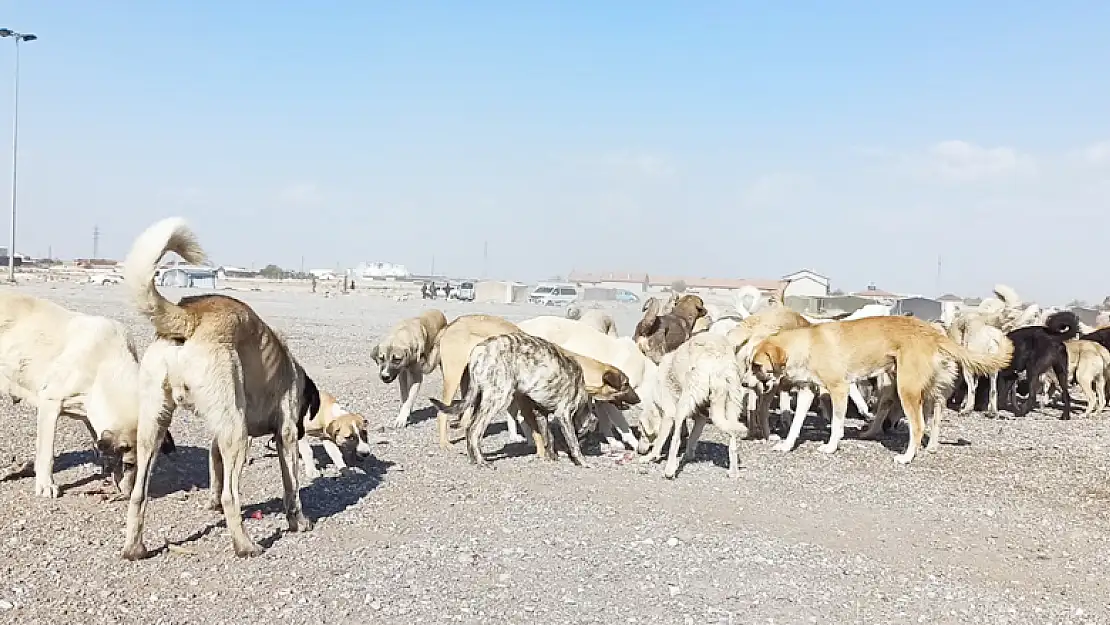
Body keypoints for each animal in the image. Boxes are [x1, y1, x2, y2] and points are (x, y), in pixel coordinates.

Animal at [120, 217, 321, 559]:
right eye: (306, 410)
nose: (305, 430)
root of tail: (190, 315)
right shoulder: (285, 435)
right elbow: (291, 486)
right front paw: (299, 521)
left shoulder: (218, 436)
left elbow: (214, 469)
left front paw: (210, 503)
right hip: (237, 434)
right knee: (232, 496)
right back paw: (244, 545)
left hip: (153, 428)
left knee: (139, 493)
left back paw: (134, 547)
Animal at [639, 337, 750, 479]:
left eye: (641, 432)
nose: (639, 451)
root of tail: (717, 360)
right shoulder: (701, 417)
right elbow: (692, 437)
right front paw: (689, 455)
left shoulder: (668, 414)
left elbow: (660, 441)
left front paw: (651, 457)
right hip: (732, 403)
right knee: (733, 437)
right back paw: (734, 471)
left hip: (685, 400)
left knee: (676, 440)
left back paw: (669, 470)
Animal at [750, 317, 1012, 464]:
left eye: (757, 366)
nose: (747, 385)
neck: (807, 345)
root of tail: (931, 331)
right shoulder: (807, 391)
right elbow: (796, 424)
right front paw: (786, 445)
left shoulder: (839, 389)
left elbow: (836, 425)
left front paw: (831, 447)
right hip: (922, 389)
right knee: (934, 417)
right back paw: (928, 447)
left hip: (906, 389)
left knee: (918, 426)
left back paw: (906, 457)